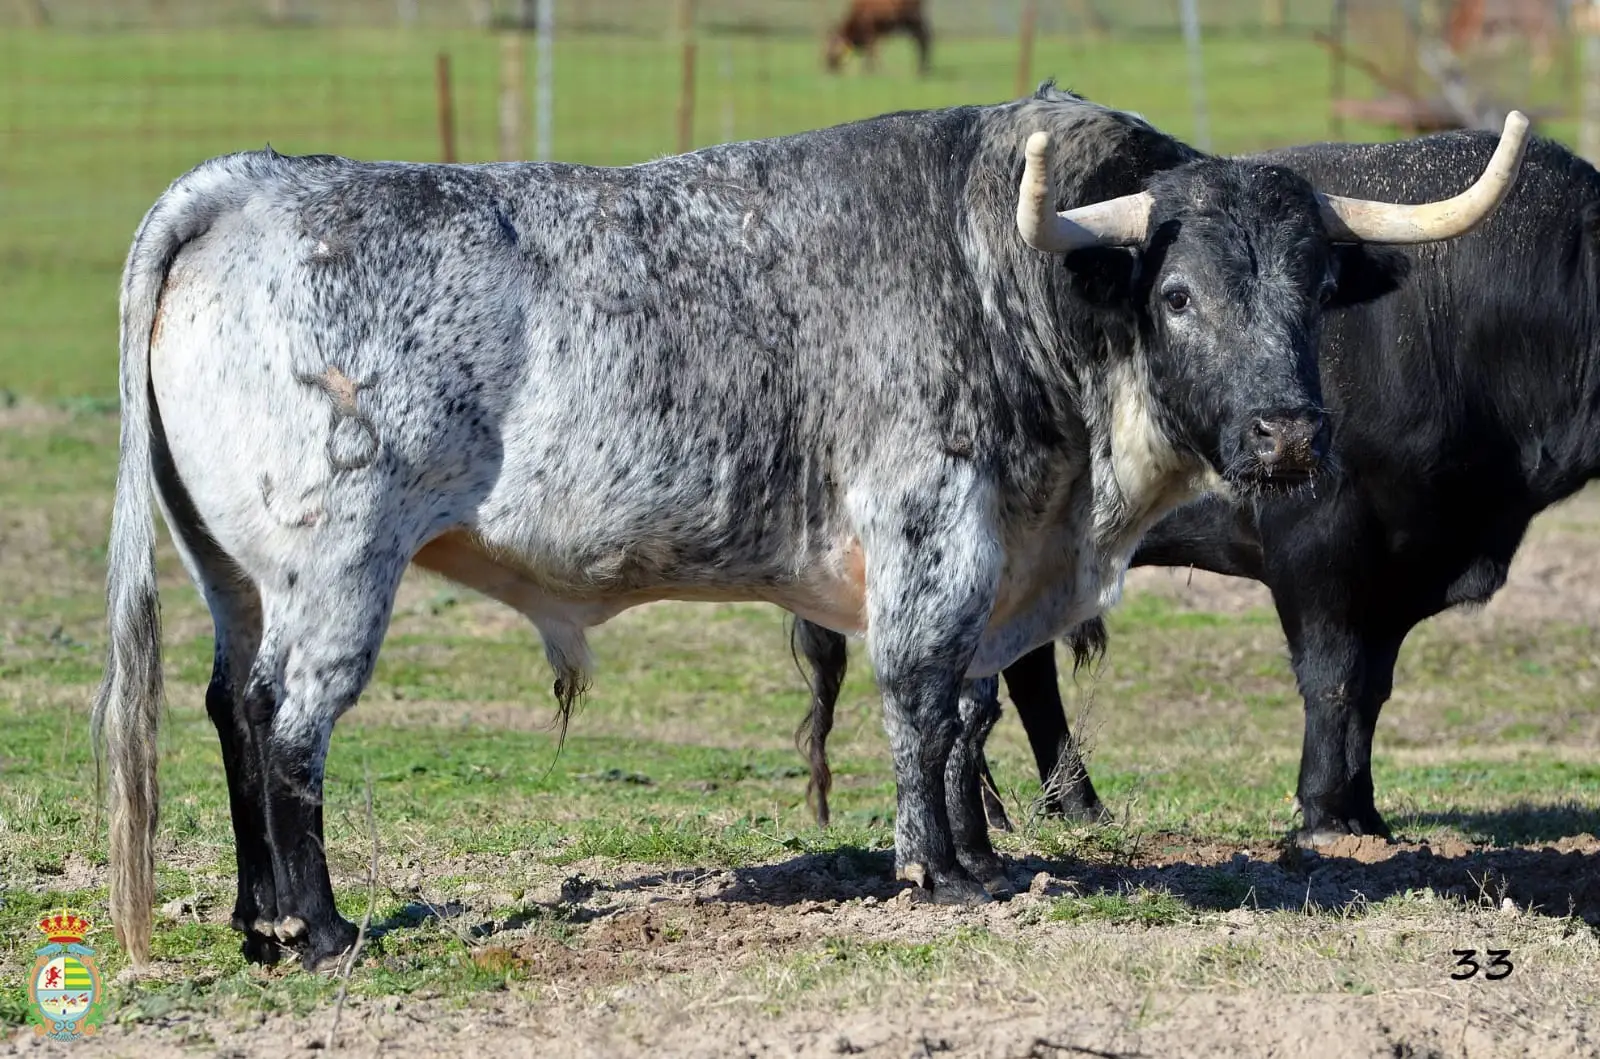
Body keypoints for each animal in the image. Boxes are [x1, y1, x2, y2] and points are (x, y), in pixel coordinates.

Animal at [93, 87, 1516, 972]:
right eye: (1175, 294)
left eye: (1314, 288)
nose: (1286, 437)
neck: (1019, 283)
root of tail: (249, 188)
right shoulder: (933, 532)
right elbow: (923, 698)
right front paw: (937, 873)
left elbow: (969, 713)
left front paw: (978, 857)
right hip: (335, 566)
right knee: (285, 723)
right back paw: (322, 930)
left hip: (236, 575)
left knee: (225, 707)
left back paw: (255, 922)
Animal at [800, 128, 1600, 844]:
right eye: (1177, 296)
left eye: (1321, 291)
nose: (1290, 435)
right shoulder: (1318, 547)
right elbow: (1332, 677)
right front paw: (1325, 814)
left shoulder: (1399, 568)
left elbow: (1370, 689)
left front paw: (1365, 811)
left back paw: (1068, 804)